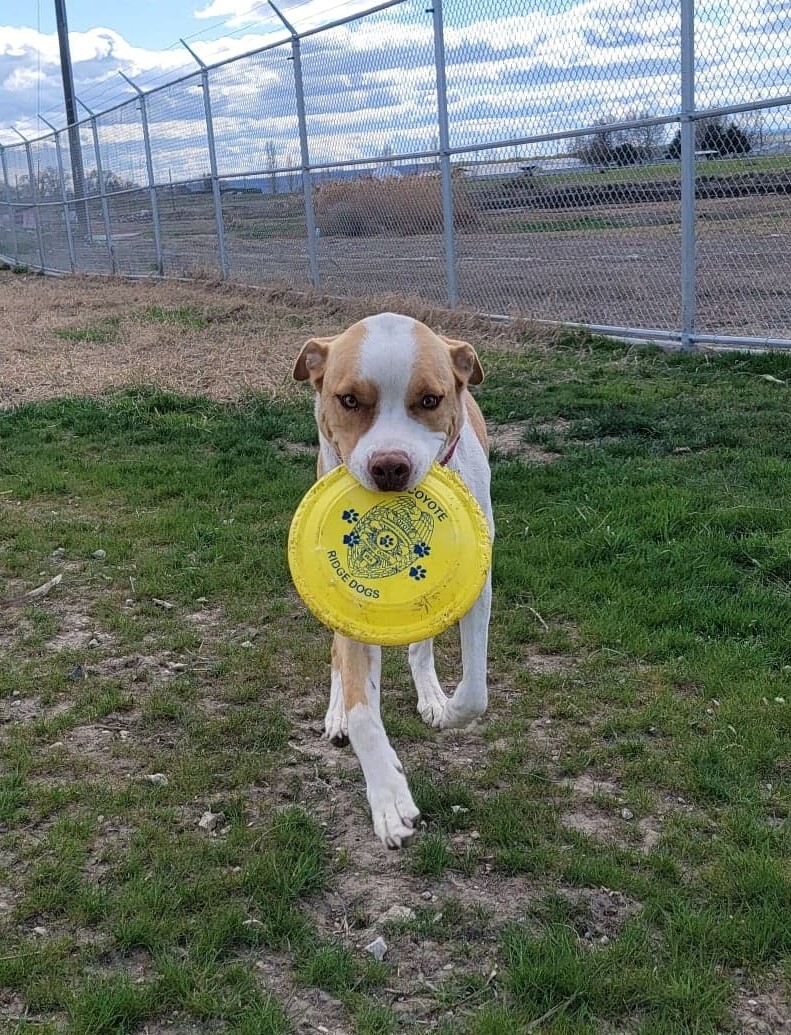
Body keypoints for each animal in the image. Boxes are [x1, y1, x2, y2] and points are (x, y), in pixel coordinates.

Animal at [293, 312, 493, 848]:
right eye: (348, 400)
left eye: (430, 400)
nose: (389, 467)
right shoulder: (347, 601)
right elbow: (364, 709)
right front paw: (389, 798)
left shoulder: (478, 581)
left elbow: (475, 690)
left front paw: (448, 710)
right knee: (337, 655)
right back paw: (337, 712)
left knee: (420, 645)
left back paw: (431, 694)